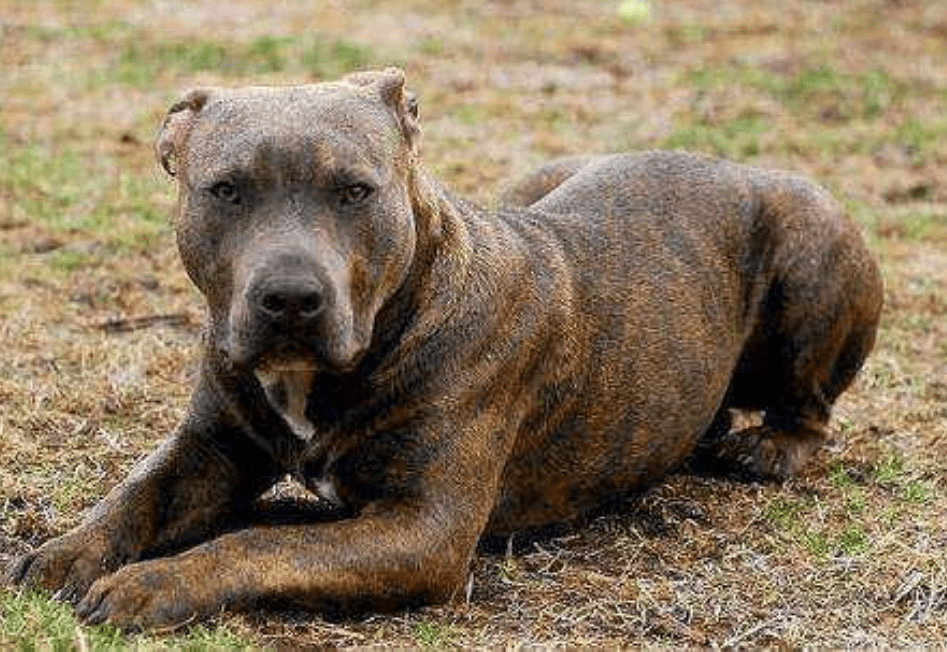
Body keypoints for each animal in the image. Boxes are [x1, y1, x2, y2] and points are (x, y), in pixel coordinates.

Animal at [3, 69, 884, 628]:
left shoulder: (422, 530)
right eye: (224, 190)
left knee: (809, 405)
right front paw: (65, 552)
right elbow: (135, 494)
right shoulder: (209, 447)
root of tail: (729, 163)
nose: (290, 298)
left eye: (355, 191)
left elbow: (262, 541)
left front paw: (155, 582)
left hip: (813, 239)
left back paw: (767, 447)